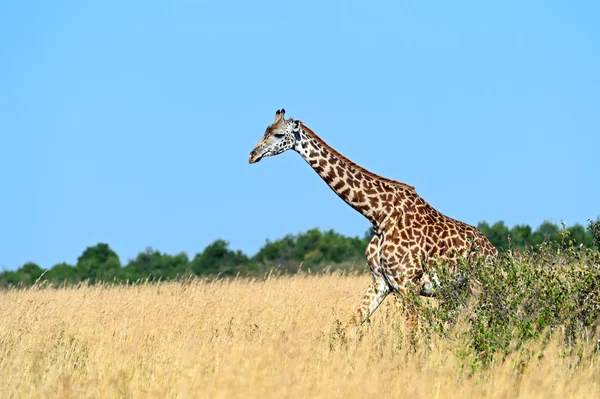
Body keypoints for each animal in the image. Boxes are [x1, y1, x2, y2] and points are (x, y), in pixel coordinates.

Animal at [248, 109, 496, 334]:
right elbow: (350, 328)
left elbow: (411, 337)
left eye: (279, 134)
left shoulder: (408, 283)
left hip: (480, 286)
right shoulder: (380, 282)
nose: (252, 155)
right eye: (264, 131)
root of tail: (494, 251)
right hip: (459, 291)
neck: (378, 215)